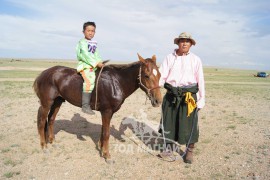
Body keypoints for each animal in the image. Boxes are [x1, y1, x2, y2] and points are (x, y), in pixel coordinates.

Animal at [32, 53, 161, 162]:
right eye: (146, 76)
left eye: (159, 75)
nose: (158, 101)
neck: (117, 82)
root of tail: (43, 74)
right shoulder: (107, 111)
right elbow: (106, 133)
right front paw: (107, 155)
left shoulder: (108, 112)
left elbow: (103, 130)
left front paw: (101, 148)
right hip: (46, 103)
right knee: (42, 122)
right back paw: (44, 146)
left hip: (57, 102)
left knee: (51, 120)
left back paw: (52, 141)